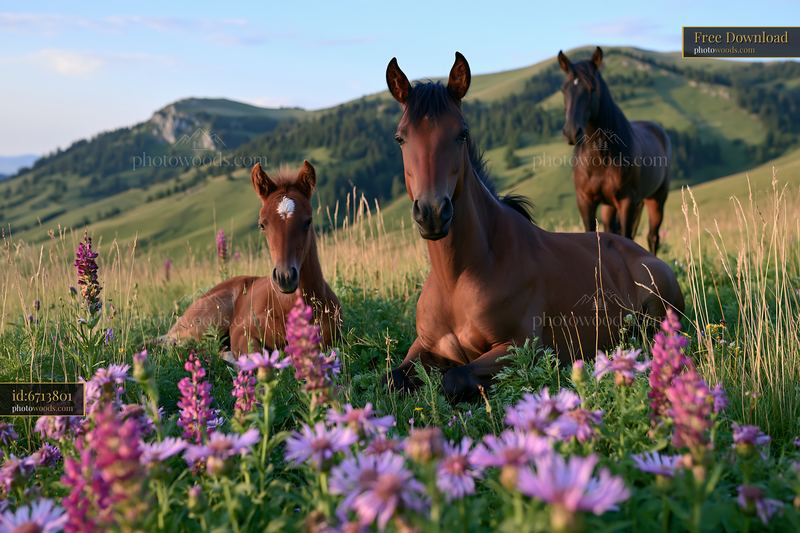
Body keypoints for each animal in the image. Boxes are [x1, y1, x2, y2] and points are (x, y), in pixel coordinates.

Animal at [162, 161, 341, 353]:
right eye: (262, 224)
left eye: (308, 221)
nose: (285, 277)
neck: (288, 305)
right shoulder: (242, 331)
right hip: (210, 320)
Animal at [558, 47, 671, 255]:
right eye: (564, 89)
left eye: (592, 89)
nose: (571, 132)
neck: (599, 157)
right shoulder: (585, 201)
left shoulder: (626, 202)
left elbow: (627, 237)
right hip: (609, 207)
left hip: (656, 200)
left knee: (653, 237)